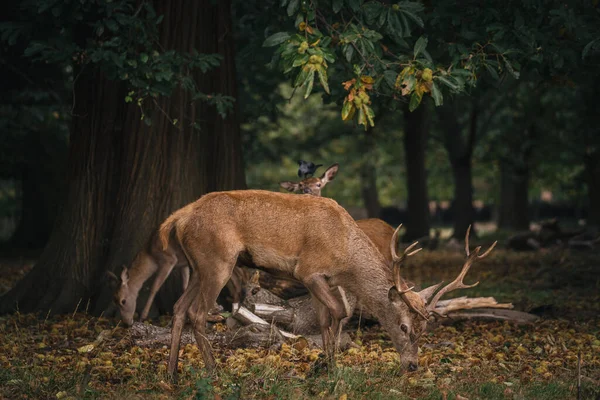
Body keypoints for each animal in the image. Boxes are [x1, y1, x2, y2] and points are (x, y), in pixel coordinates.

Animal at [156, 191, 496, 378]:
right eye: (403, 326)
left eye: (424, 329)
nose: (412, 366)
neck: (345, 258)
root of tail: (179, 217)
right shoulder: (309, 270)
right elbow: (339, 313)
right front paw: (328, 365)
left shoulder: (323, 280)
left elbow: (326, 317)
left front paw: (326, 367)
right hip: (217, 260)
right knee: (198, 313)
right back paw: (213, 371)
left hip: (197, 265)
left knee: (178, 307)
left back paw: (172, 373)